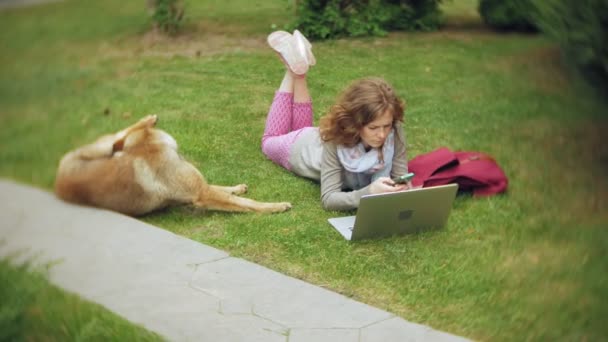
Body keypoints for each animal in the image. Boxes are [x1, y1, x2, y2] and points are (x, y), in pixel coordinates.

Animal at [54, 115, 292, 216]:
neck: (150, 147)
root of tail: (58, 183)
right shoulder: (203, 194)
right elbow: (247, 203)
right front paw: (276, 206)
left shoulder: (200, 187)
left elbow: (224, 189)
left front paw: (237, 187)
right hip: (102, 148)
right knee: (122, 135)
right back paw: (149, 119)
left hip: (108, 148)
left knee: (121, 139)